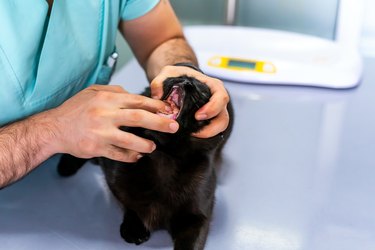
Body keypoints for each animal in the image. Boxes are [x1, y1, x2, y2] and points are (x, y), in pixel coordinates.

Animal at [58, 75, 235, 249]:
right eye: (178, 76)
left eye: (203, 92)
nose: (186, 81)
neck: (164, 157)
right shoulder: (114, 177)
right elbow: (130, 204)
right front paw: (134, 228)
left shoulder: (197, 218)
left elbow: (190, 245)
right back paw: (66, 166)